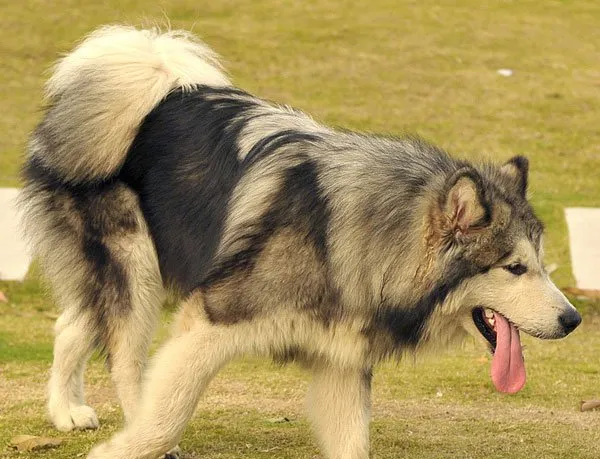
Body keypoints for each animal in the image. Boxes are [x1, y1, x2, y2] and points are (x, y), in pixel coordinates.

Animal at [22, 26, 580, 459]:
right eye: (514, 267)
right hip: (136, 273)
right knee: (124, 359)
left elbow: (352, 443)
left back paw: (66, 410)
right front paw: (131, 446)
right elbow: (167, 413)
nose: (573, 320)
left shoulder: (340, 363)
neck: (350, 238)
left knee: (72, 325)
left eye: (543, 264)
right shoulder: (209, 322)